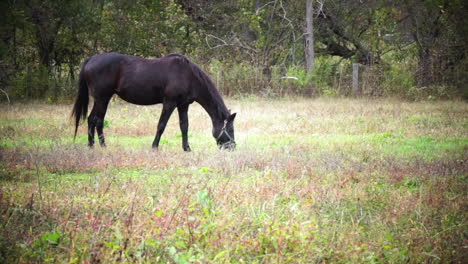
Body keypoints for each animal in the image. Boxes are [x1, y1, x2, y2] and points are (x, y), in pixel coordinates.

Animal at [71, 52, 236, 151]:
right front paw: (155, 146)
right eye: (230, 129)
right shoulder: (169, 103)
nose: (232, 147)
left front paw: (187, 148)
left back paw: (93, 145)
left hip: (101, 99)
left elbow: (184, 126)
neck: (188, 75)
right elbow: (161, 125)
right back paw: (100, 145)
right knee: (97, 120)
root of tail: (91, 59)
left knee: (93, 120)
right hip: (102, 98)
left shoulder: (183, 105)